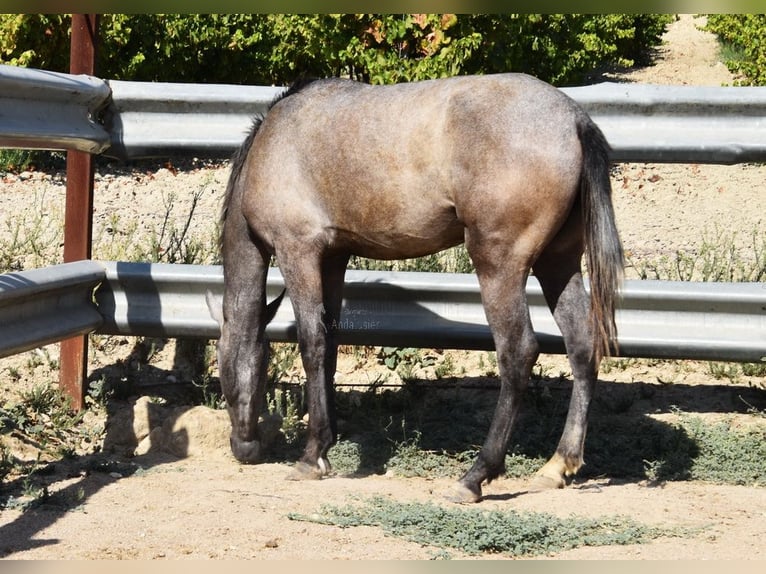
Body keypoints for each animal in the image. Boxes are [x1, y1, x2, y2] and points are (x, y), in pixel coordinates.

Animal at [212, 73, 624, 504]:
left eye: (224, 373)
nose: (244, 449)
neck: (272, 143)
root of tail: (574, 119)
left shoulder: (298, 250)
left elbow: (312, 344)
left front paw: (311, 456)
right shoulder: (334, 257)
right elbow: (331, 344)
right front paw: (327, 441)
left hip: (500, 265)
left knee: (518, 352)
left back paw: (475, 475)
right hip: (557, 263)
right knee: (582, 345)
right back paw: (559, 464)